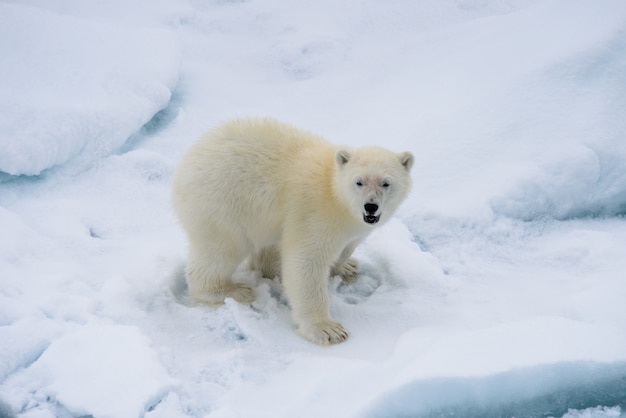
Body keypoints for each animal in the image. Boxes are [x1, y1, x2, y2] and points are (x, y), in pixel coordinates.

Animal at [173, 118, 412, 346]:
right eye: (359, 182)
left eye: (386, 183)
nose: (370, 206)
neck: (335, 193)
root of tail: (188, 160)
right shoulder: (315, 213)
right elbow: (306, 262)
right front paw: (328, 330)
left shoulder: (354, 226)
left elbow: (346, 246)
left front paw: (346, 267)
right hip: (224, 204)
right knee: (221, 250)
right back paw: (232, 290)